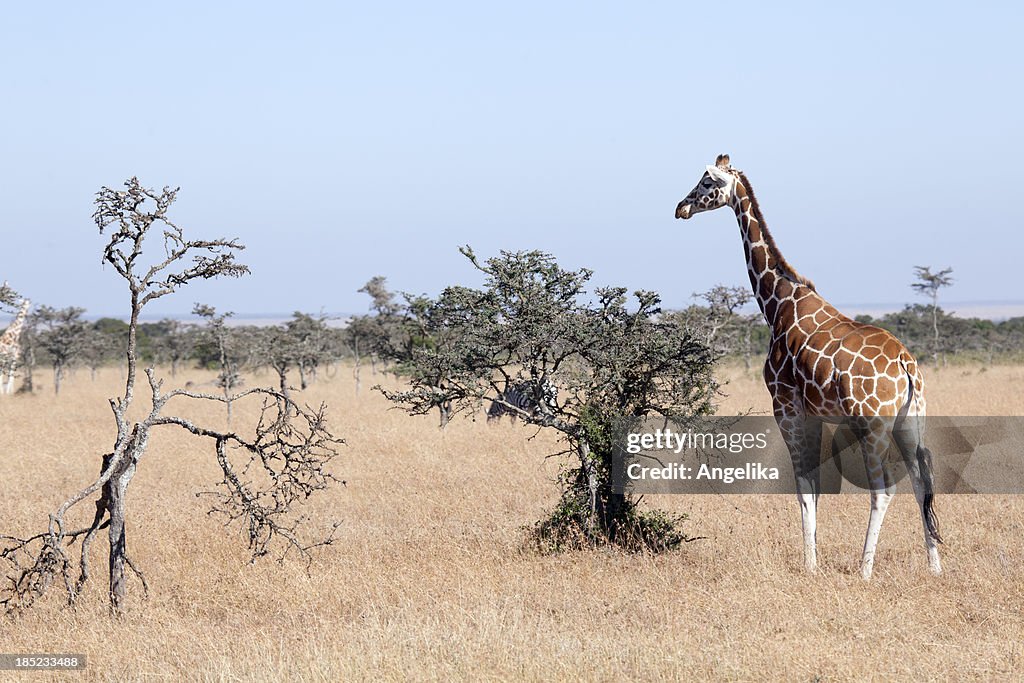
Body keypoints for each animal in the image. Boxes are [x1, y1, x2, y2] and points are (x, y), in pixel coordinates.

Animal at [675, 153, 937, 577]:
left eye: (706, 182)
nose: (680, 207)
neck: (777, 304)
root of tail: (906, 366)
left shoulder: (786, 406)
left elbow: (803, 489)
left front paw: (810, 565)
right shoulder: (813, 414)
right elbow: (814, 487)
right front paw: (813, 559)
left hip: (872, 424)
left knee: (884, 489)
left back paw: (865, 570)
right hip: (911, 421)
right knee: (921, 482)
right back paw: (935, 566)